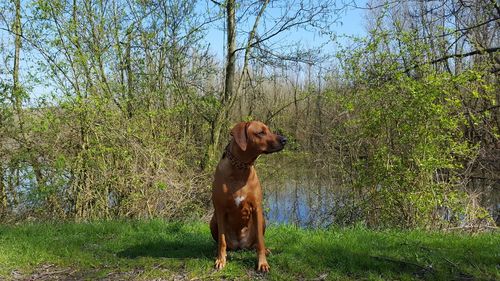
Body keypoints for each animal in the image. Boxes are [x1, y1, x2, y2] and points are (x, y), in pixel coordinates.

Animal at [210, 120, 288, 272]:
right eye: (261, 132)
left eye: (269, 130)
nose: (284, 140)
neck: (241, 168)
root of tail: (240, 246)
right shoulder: (220, 210)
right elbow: (222, 241)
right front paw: (221, 260)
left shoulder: (257, 208)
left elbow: (260, 242)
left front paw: (262, 263)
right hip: (213, 220)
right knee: (223, 243)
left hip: (262, 220)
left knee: (256, 243)